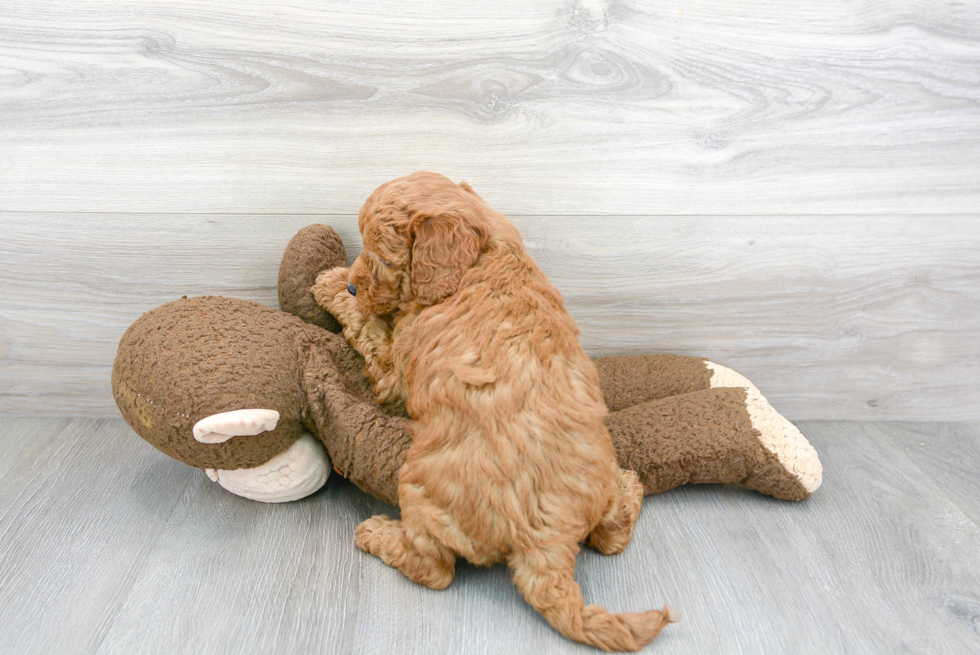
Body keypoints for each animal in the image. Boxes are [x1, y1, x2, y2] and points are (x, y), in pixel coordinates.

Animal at [318, 172, 668, 648]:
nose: (355, 284)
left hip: (420, 485)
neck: (483, 253)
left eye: (379, 255)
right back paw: (629, 487)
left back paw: (377, 533)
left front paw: (331, 284)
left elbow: (369, 327)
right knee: (612, 535)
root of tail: (548, 543)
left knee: (433, 569)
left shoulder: (394, 371)